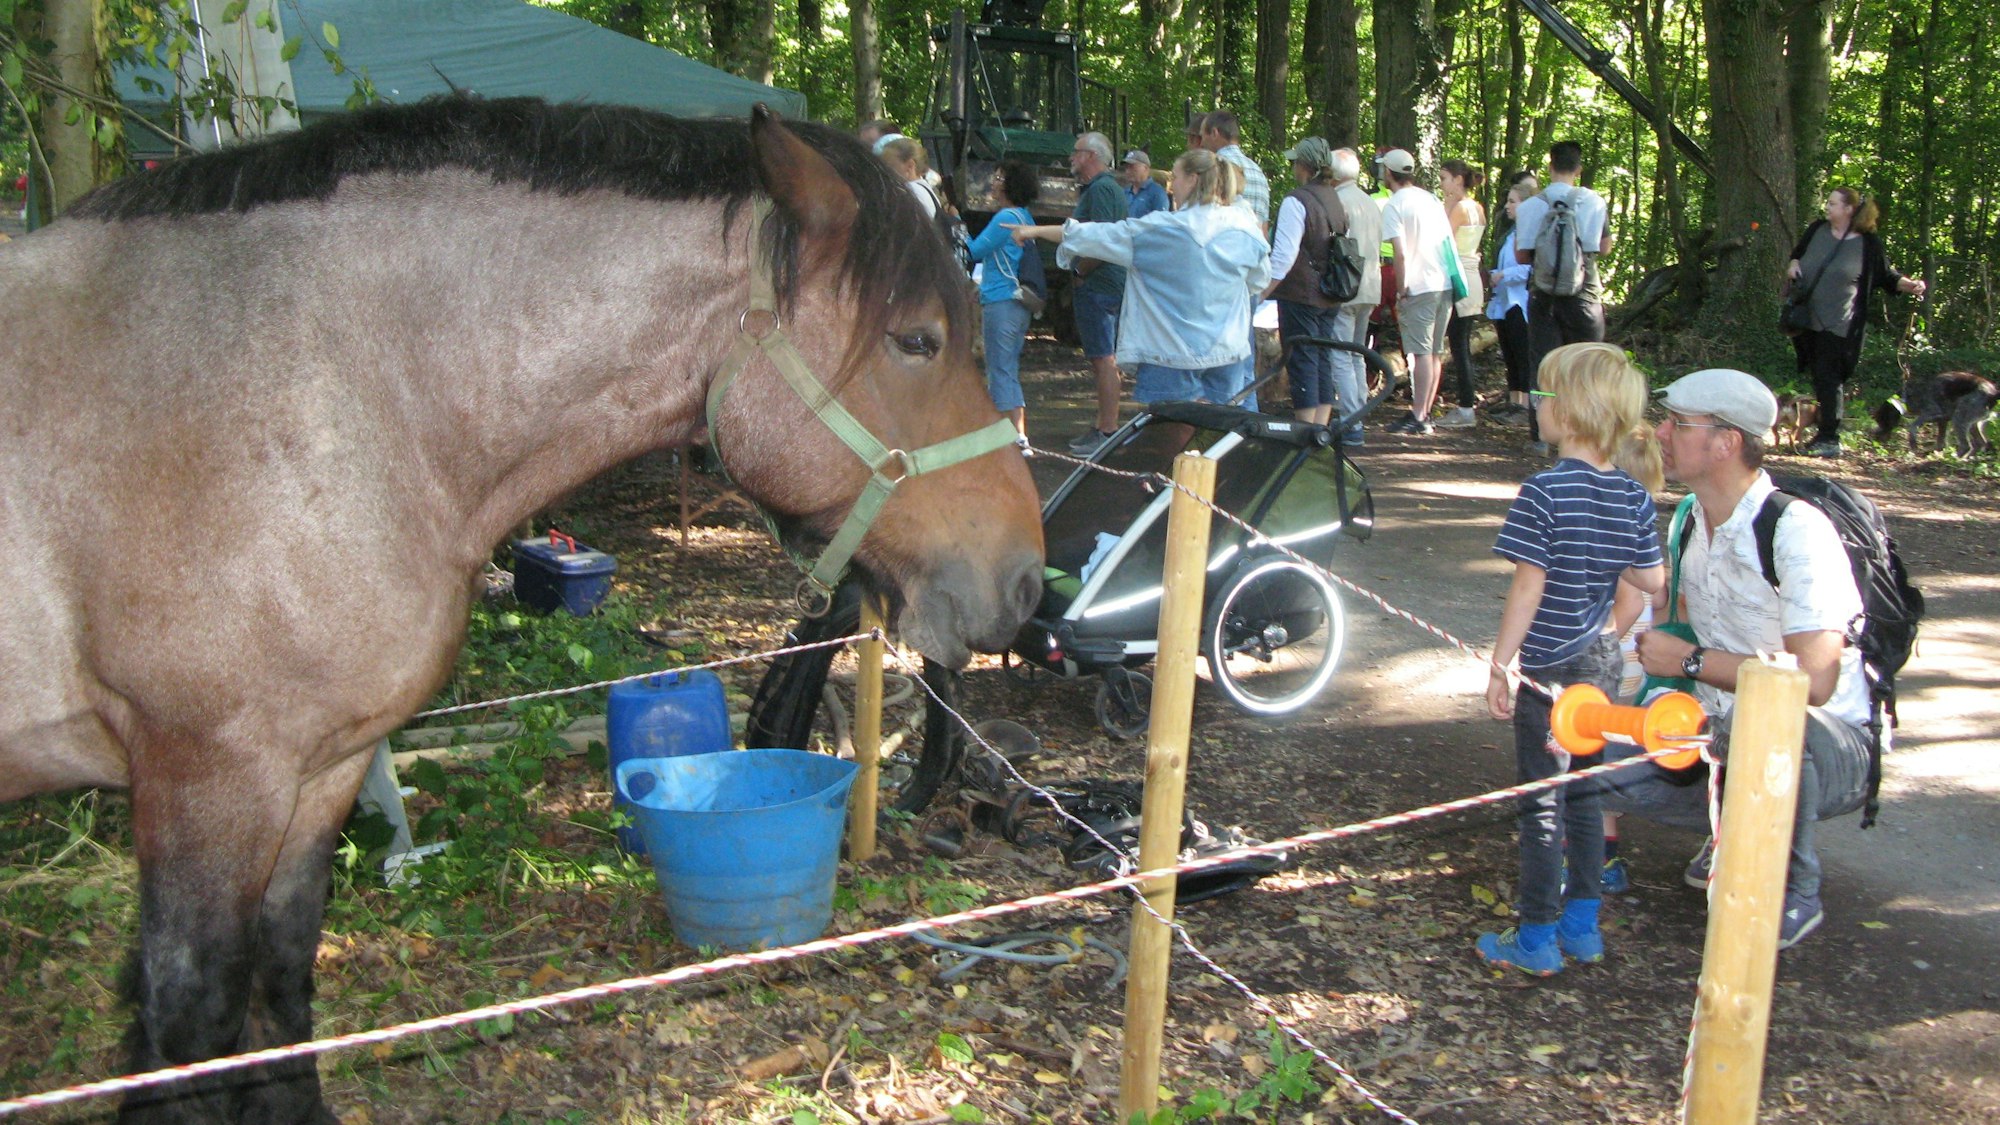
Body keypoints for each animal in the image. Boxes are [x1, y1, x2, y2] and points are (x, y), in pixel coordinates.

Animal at [0, 96, 1042, 1123]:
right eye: (916, 339)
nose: (1026, 580)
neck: (325, 393)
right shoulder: (206, 779)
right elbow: (192, 1029)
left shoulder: (317, 771)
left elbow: (282, 989)